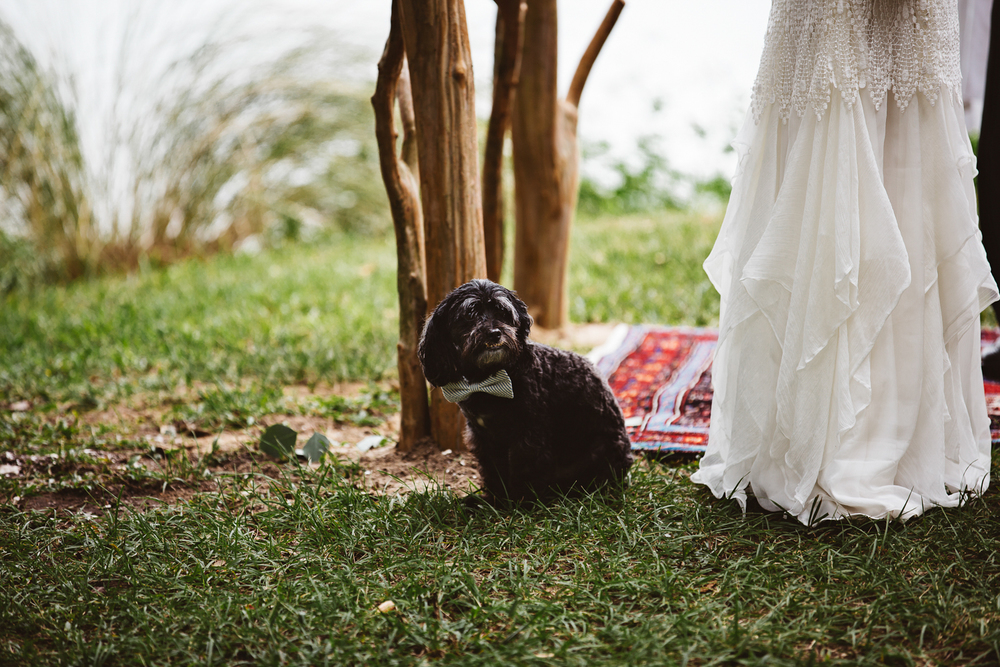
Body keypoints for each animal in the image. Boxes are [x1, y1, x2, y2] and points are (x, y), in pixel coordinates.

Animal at [418, 280, 628, 504]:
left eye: (502, 312)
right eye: (470, 314)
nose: (495, 333)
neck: (487, 379)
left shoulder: (528, 437)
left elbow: (524, 470)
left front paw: (521, 502)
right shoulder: (485, 437)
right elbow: (494, 470)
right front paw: (494, 498)